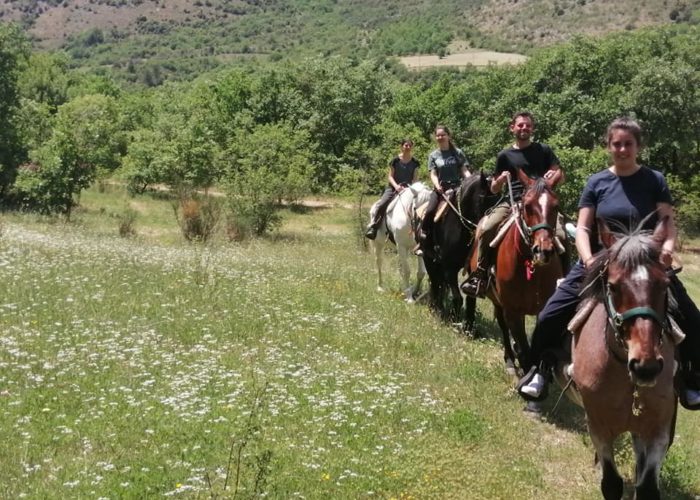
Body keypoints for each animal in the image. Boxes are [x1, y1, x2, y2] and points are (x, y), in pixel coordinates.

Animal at [418, 174, 494, 324]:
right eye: (482, 197)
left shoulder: (471, 269)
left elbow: (471, 298)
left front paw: (469, 326)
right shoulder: (449, 268)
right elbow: (457, 297)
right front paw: (453, 320)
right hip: (428, 259)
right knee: (435, 283)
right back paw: (435, 309)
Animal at [470, 170, 564, 374]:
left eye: (556, 206)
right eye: (527, 206)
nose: (543, 250)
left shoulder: (543, 308)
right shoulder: (511, 310)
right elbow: (524, 350)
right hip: (498, 302)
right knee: (503, 326)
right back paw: (510, 362)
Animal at [564, 219, 680, 500]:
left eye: (664, 285)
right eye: (614, 286)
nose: (646, 367)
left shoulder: (658, 430)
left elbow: (647, 487)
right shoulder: (598, 428)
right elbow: (612, 484)